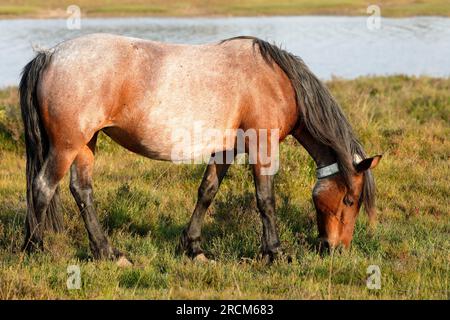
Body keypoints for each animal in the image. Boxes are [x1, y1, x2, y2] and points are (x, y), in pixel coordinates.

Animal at [20, 33, 380, 264]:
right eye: (349, 200)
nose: (336, 249)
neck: (277, 81)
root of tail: (49, 55)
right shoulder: (261, 148)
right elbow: (265, 200)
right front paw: (275, 252)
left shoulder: (226, 150)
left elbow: (207, 192)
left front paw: (192, 247)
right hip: (67, 145)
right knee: (43, 187)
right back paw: (34, 248)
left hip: (85, 144)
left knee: (82, 190)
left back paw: (108, 253)